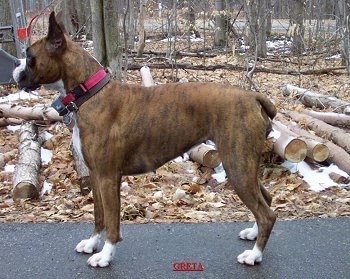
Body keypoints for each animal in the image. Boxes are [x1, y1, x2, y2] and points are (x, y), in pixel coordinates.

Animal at [13, 12, 276, 268]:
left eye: (29, 56)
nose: (15, 67)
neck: (89, 93)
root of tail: (253, 96)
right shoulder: (96, 175)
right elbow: (99, 214)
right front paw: (92, 243)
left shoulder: (108, 177)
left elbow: (112, 221)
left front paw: (105, 255)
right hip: (244, 165)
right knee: (266, 199)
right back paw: (253, 235)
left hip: (237, 166)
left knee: (266, 214)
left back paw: (255, 255)